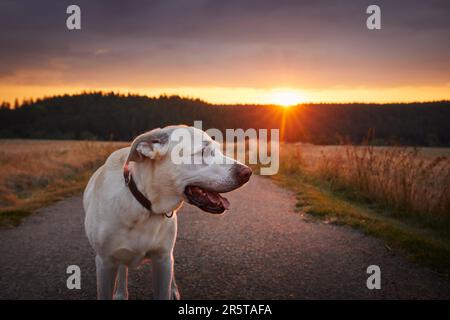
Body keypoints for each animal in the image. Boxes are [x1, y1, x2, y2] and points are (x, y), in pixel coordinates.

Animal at [83, 125, 253, 300]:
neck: (145, 206)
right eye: (202, 151)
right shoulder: (105, 262)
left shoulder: (162, 258)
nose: (248, 172)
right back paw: (121, 292)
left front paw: (170, 290)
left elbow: (164, 285)